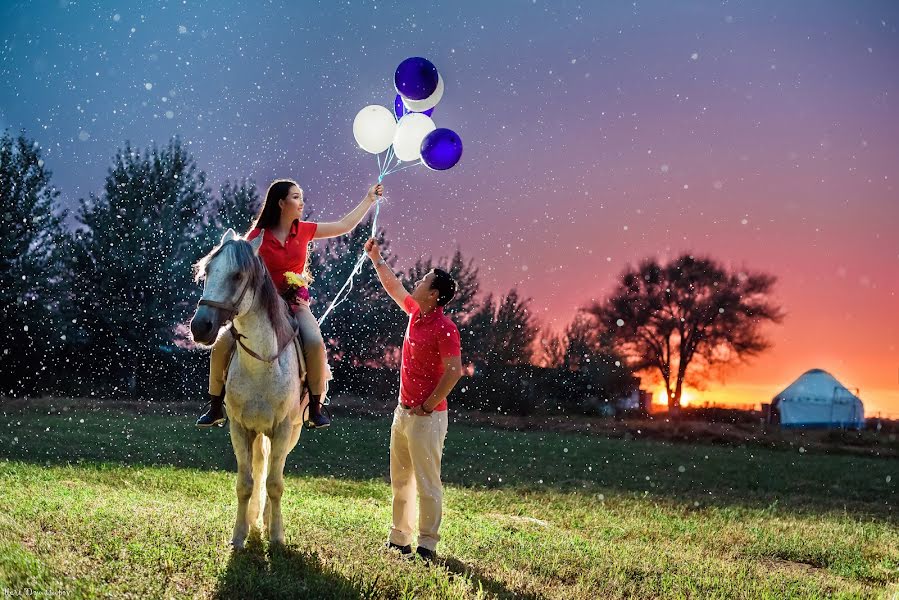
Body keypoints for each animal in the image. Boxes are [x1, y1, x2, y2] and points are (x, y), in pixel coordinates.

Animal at [188, 229, 308, 548]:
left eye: (238, 275)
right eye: (207, 272)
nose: (199, 327)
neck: (262, 364)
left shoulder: (282, 429)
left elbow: (275, 484)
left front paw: (276, 536)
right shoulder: (240, 428)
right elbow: (245, 483)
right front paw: (239, 536)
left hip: (291, 433)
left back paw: (265, 521)